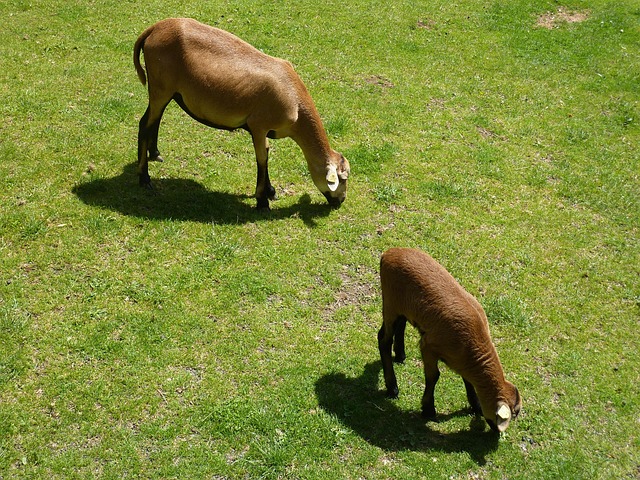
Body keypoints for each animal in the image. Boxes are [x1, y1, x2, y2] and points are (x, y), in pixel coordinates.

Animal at [133, 18, 350, 209]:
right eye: (342, 180)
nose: (340, 202)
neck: (296, 105)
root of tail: (154, 29)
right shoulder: (259, 125)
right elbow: (262, 159)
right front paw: (262, 201)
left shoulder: (263, 129)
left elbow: (266, 153)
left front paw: (270, 192)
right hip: (161, 88)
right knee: (145, 124)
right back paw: (144, 178)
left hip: (164, 90)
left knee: (155, 120)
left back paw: (155, 154)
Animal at [378, 247, 522, 432]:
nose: (496, 434)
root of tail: (389, 253)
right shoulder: (428, 346)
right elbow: (433, 376)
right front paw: (428, 409)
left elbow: (467, 380)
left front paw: (475, 405)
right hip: (390, 302)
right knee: (383, 340)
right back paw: (392, 387)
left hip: (402, 307)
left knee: (400, 326)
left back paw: (401, 354)